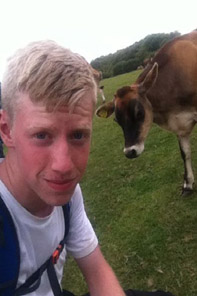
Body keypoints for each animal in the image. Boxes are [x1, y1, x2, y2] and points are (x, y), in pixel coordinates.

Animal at [96, 31, 197, 195]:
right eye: (117, 120)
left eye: (139, 113)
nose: (129, 152)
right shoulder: (180, 125)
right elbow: (185, 153)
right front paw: (188, 184)